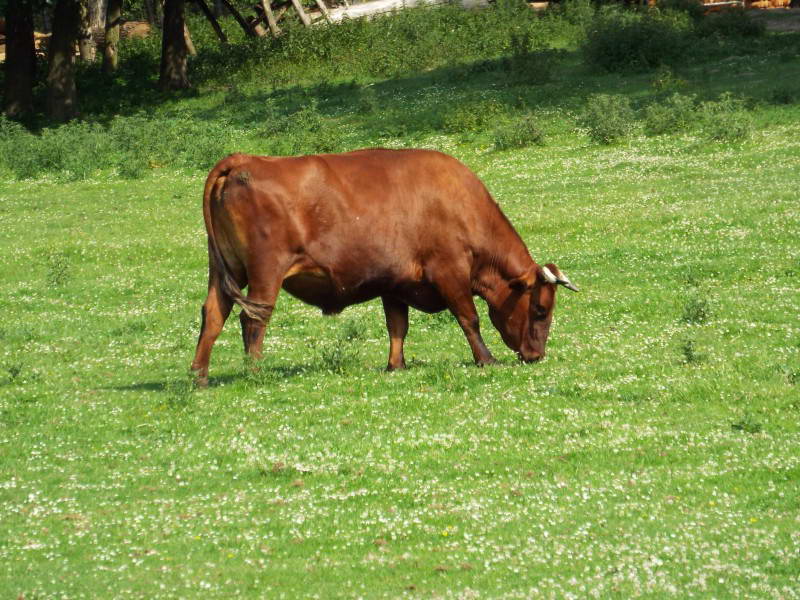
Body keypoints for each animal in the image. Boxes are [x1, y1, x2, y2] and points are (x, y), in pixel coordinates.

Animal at [191, 150, 580, 384]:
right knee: (253, 320)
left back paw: (200, 376)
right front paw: (486, 359)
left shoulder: (395, 283)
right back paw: (255, 372)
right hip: (265, 273)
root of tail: (244, 160)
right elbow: (468, 318)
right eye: (541, 310)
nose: (536, 356)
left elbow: (397, 327)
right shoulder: (450, 271)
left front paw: (396, 365)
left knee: (213, 315)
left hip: (225, 271)